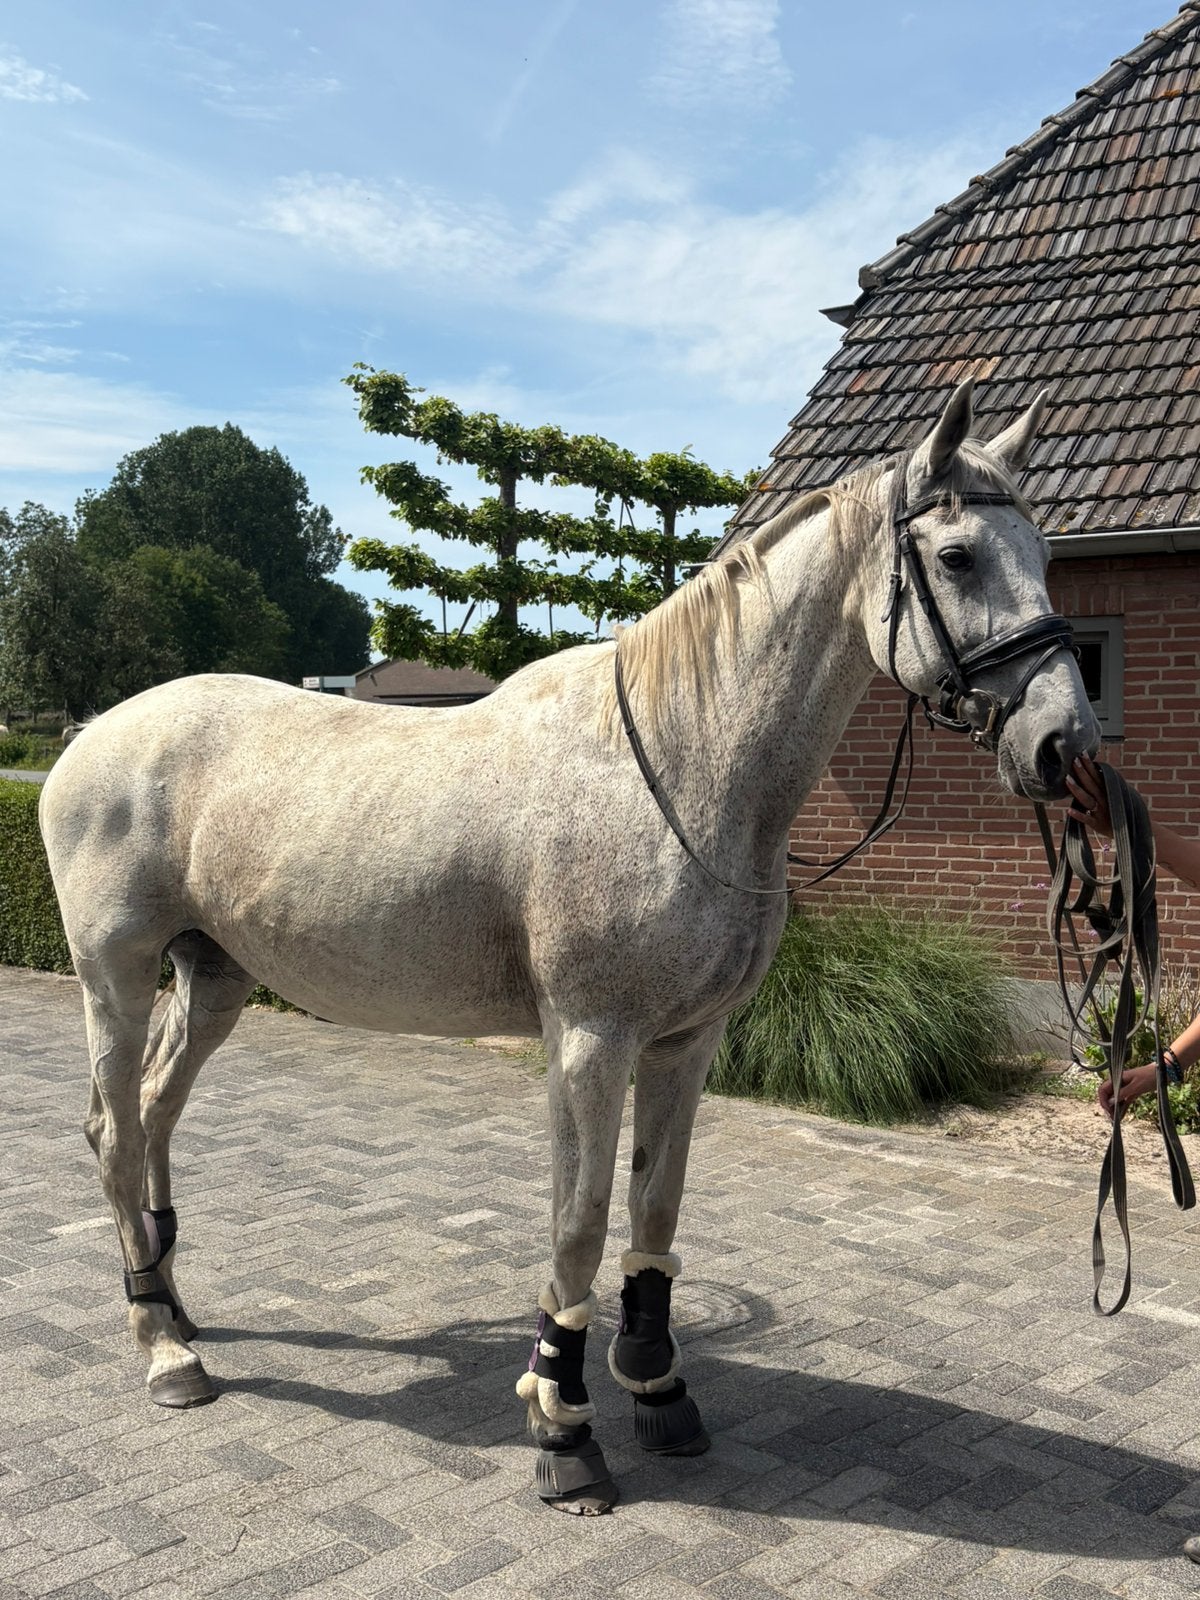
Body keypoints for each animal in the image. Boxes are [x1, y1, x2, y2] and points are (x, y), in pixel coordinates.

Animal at [39, 381, 1099, 1514]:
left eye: (1044, 550)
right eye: (959, 556)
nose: (1064, 745)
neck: (679, 765)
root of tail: (87, 738)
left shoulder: (687, 1041)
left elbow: (655, 1206)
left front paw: (658, 1385)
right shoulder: (592, 1038)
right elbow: (580, 1220)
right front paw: (563, 1425)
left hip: (215, 976)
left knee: (153, 1114)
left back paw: (174, 1305)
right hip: (115, 975)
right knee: (114, 1130)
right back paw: (165, 1349)